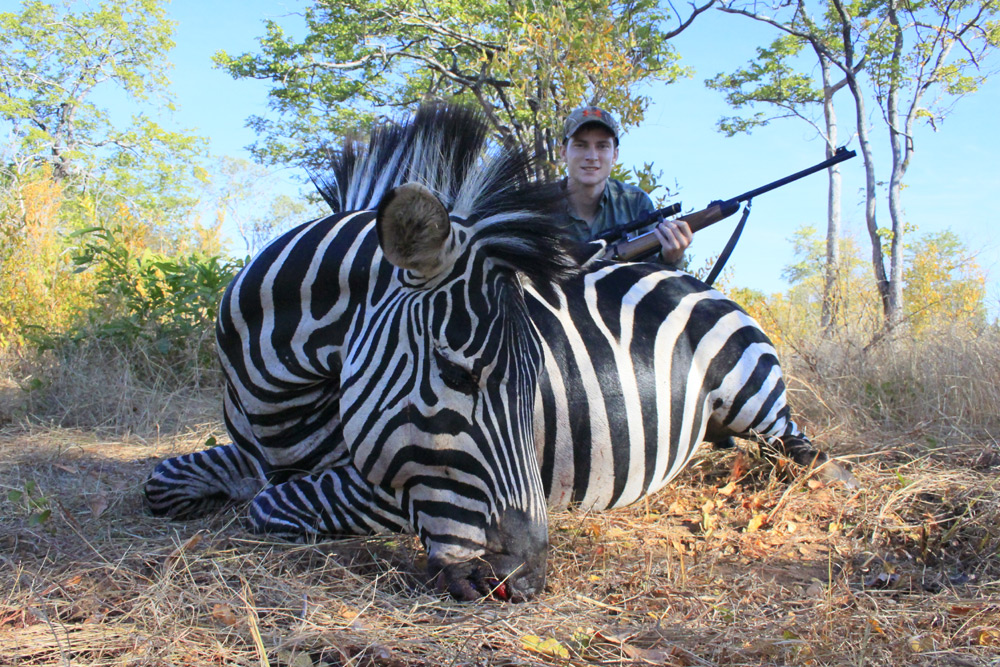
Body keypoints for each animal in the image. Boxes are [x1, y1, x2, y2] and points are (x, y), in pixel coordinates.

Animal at [144, 103, 855, 602]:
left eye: (537, 380)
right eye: (458, 372)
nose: (528, 579)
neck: (278, 406)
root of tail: (690, 282)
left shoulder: (383, 490)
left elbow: (268, 506)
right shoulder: (252, 453)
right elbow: (163, 481)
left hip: (756, 397)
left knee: (801, 449)